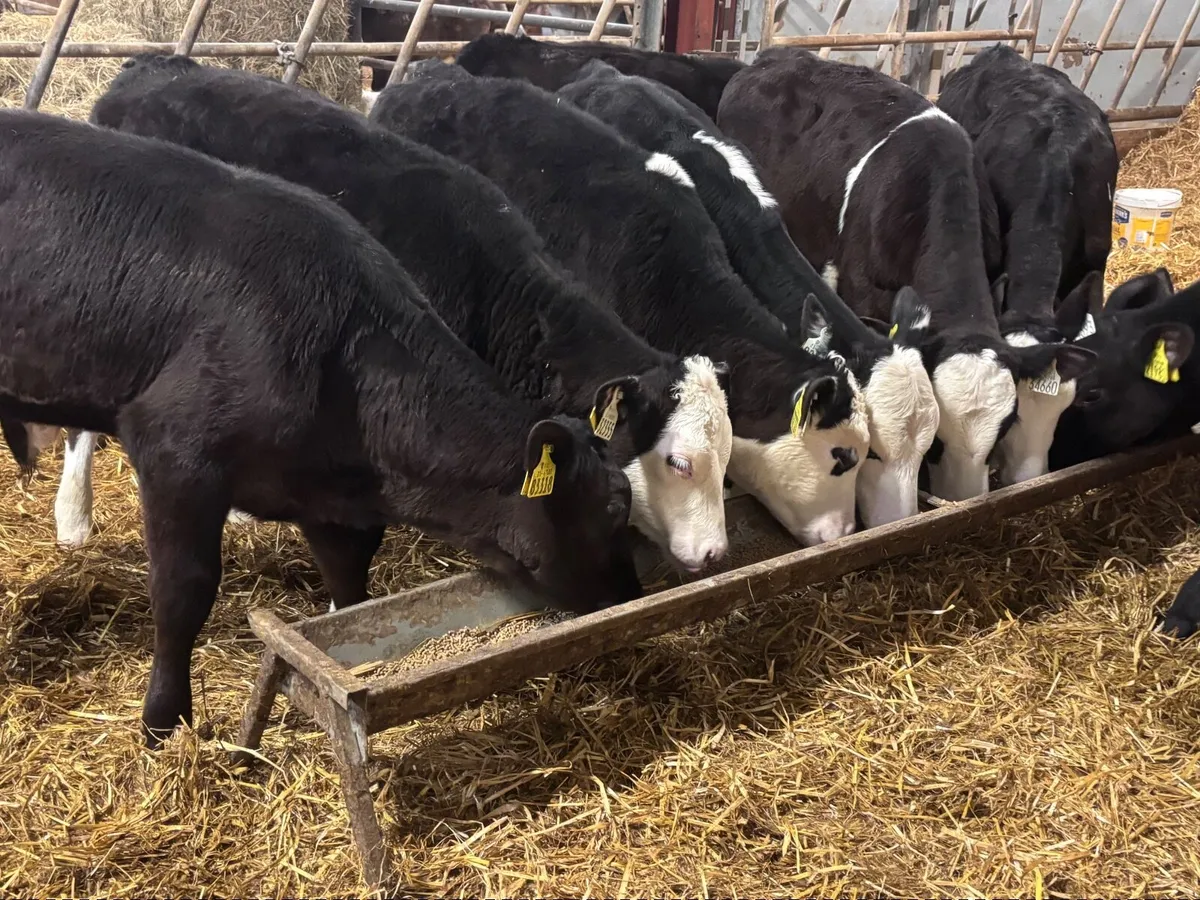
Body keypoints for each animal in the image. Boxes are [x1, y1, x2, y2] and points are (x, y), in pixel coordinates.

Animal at [0, 109, 640, 745]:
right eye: (614, 506)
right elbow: (183, 590)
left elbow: (350, 577)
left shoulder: (326, 490)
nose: (634, 591)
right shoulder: (175, 449)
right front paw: (165, 720)